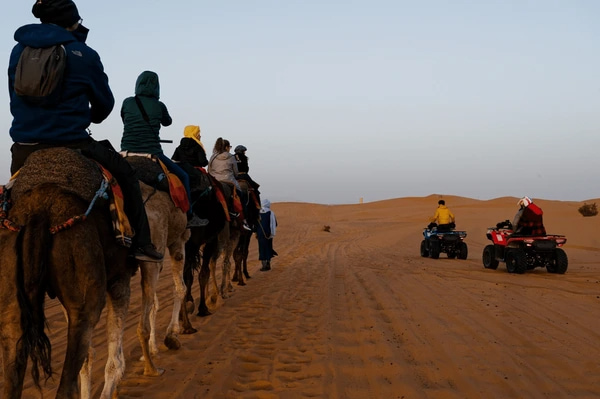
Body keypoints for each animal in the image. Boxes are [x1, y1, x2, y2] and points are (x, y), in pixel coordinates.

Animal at [0, 148, 134, 399]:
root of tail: (40, 211)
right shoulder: (120, 279)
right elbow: (114, 361)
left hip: (10, 298)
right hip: (85, 301)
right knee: (66, 385)